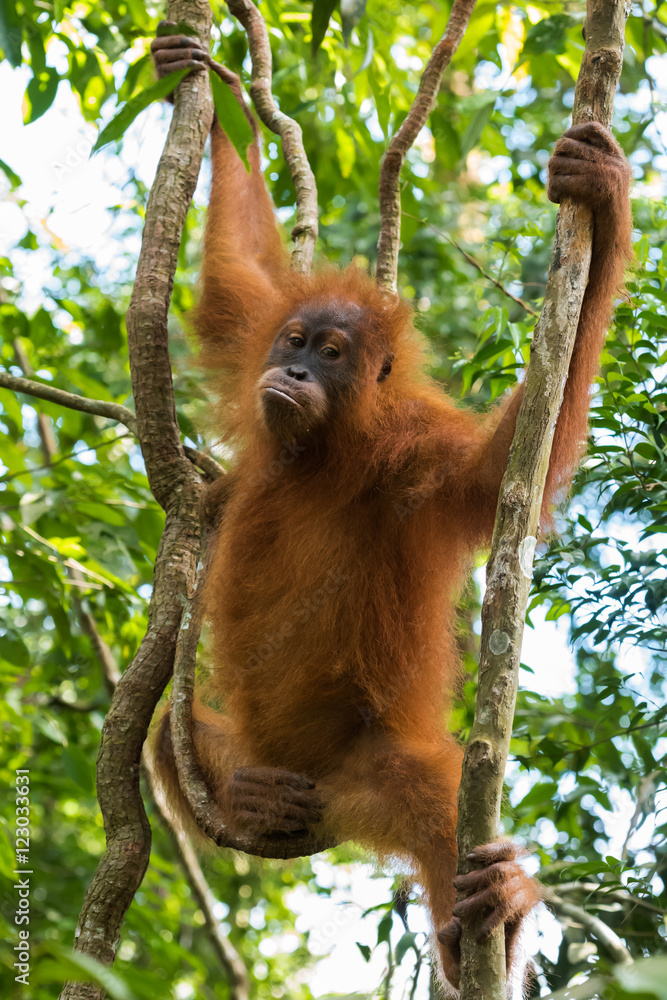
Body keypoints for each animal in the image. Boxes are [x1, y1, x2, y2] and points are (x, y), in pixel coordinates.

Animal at [150, 26, 632, 991]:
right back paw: (250, 801)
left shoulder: (419, 460)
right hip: (253, 756)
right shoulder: (255, 351)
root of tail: (330, 810)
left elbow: (501, 472)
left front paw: (602, 202)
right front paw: (212, 82)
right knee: (154, 736)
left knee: (439, 802)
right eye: (297, 340)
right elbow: (235, 283)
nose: (295, 371)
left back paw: (486, 919)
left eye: (334, 354)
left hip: (367, 774)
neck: (321, 454)